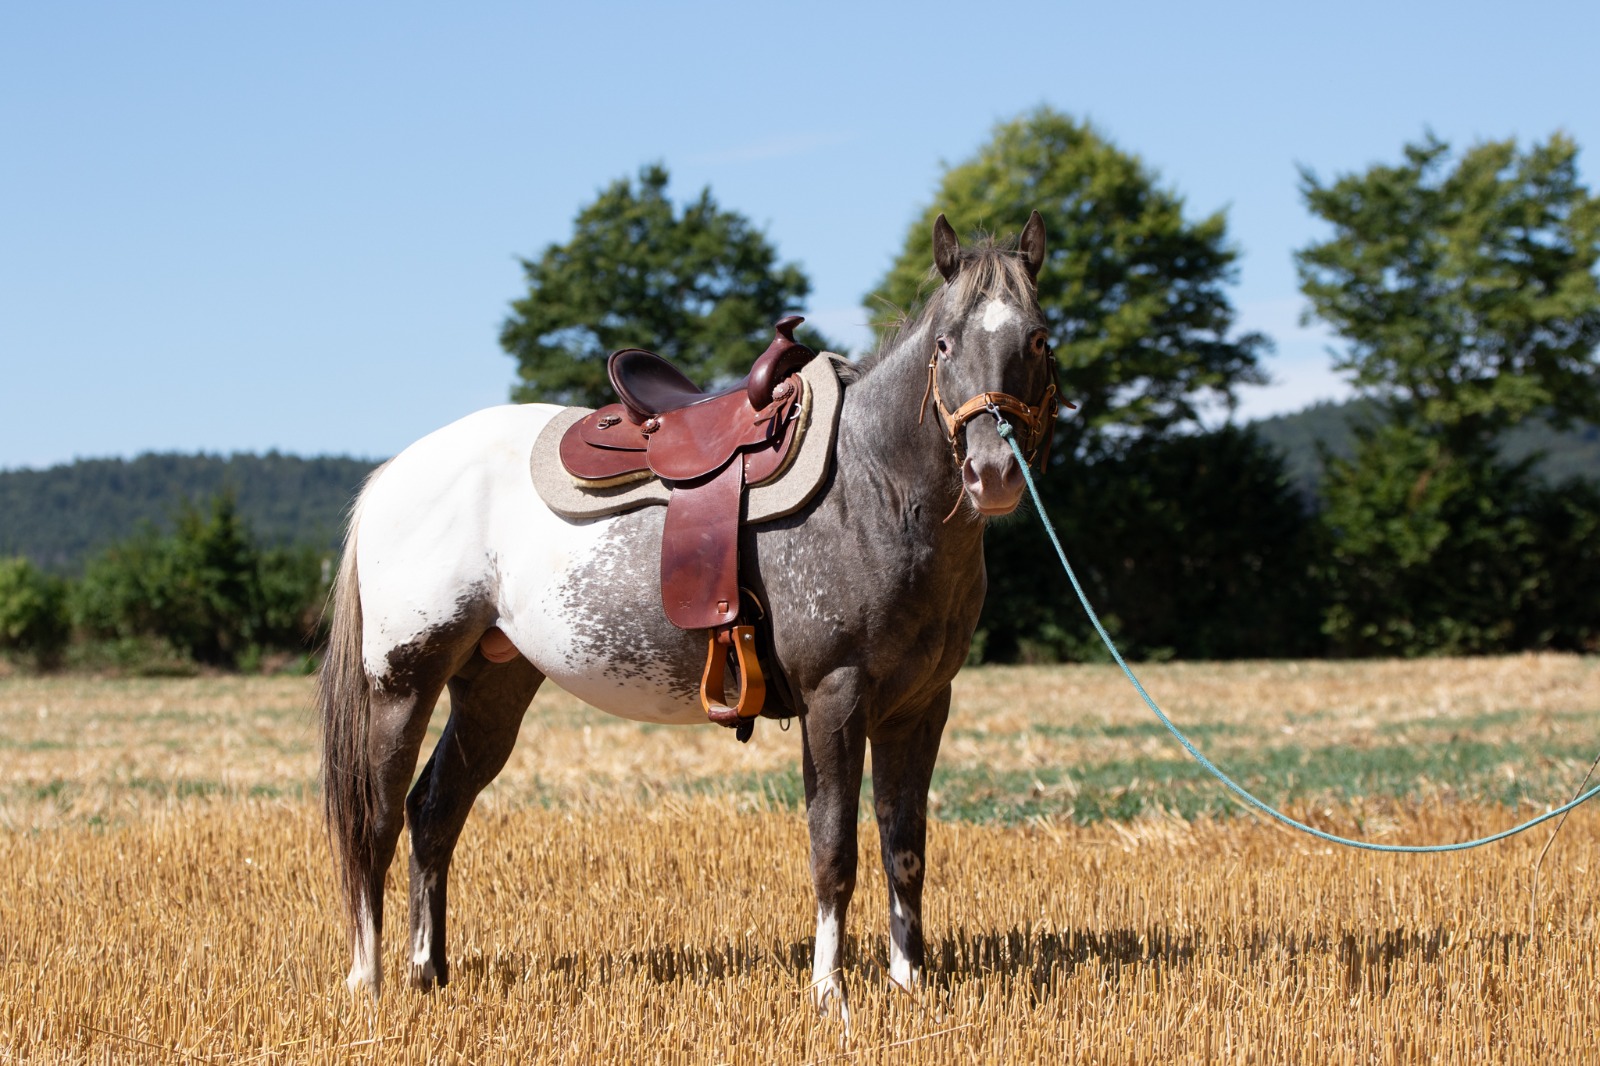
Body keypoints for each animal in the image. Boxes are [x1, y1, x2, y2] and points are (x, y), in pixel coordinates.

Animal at [318, 211, 1059, 1020]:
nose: (993, 473)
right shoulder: (836, 698)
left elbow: (906, 848)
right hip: (404, 680)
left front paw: (910, 982)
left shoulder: (920, 707)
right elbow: (834, 848)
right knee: (377, 818)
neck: (875, 486)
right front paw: (829, 993)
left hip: (493, 687)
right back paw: (367, 981)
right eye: (945, 343)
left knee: (434, 811)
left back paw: (429, 973)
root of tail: (394, 473)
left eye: (1038, 339)